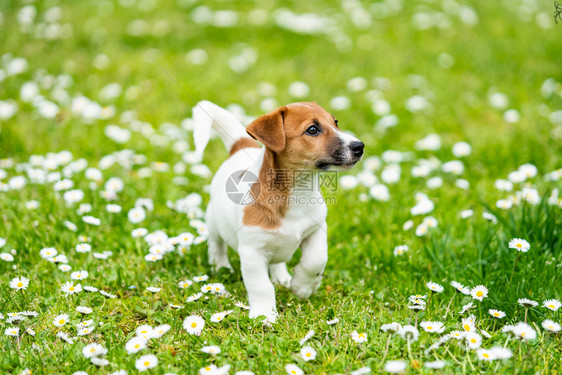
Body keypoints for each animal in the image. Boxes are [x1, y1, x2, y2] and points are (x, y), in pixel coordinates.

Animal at [192, 100, 364, 324]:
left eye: (335, 122)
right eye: (312, 130)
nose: (359, 146)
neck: (297, 194)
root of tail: (241, 148)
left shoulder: (316, 230)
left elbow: (315, 260)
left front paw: (302, 286)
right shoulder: (252, 252)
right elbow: (261, 286)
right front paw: (264, 315)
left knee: (278, 262)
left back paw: (282, 278)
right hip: (214, 223)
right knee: (216, 245)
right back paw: (221, 267)